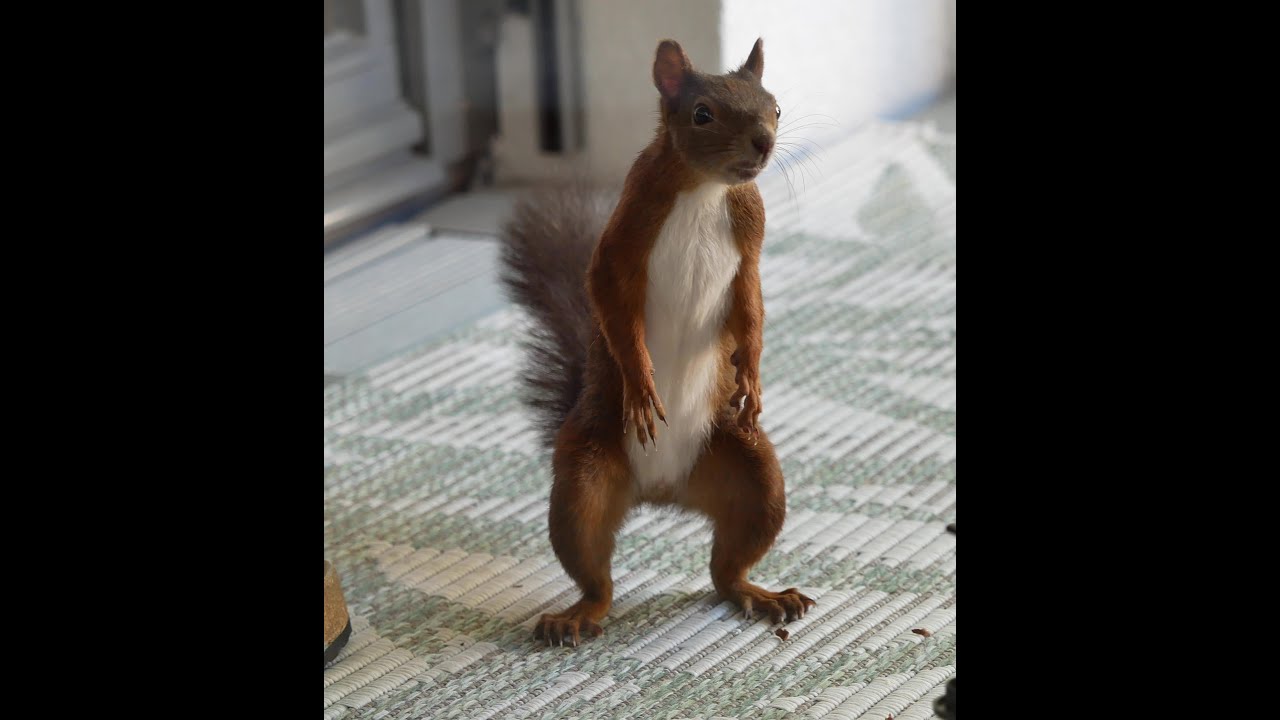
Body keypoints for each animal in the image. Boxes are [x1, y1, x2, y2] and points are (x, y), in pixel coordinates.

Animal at [500, 37, 813, 647]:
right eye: (702, 114)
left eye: (775, 107)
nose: (764, 143)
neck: (705, 189)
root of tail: (663, 490)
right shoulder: (624, 232)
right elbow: (609, 303)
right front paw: (642, 384)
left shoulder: (751, 239)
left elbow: (751, 308)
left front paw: (751, 374)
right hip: (584, 478)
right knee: (594, 571)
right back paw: (576, 616)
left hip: (752, 474)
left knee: (726, 569)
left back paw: (762, 595)